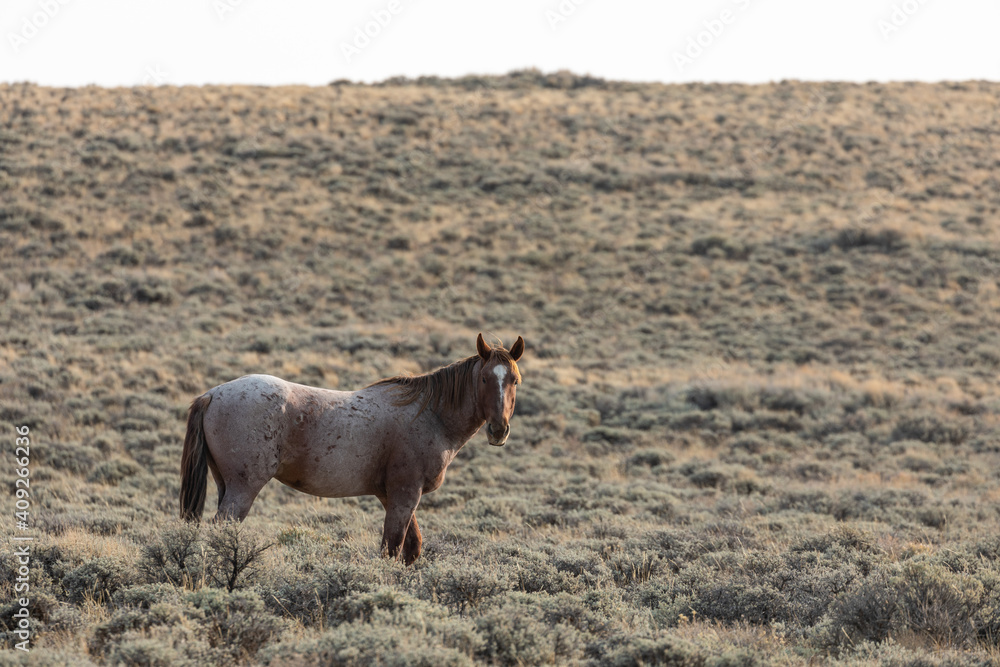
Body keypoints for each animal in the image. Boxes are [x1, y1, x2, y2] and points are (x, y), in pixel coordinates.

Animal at [179, 333, 524, 565]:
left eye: (515, 380)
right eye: (484, 378)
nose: (498, 430)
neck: (429, 414)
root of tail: (212, 394)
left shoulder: (392, 496)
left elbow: (411, 549)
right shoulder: (404, 495)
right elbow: (392, 548)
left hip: (225, 485)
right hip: (243, 489)